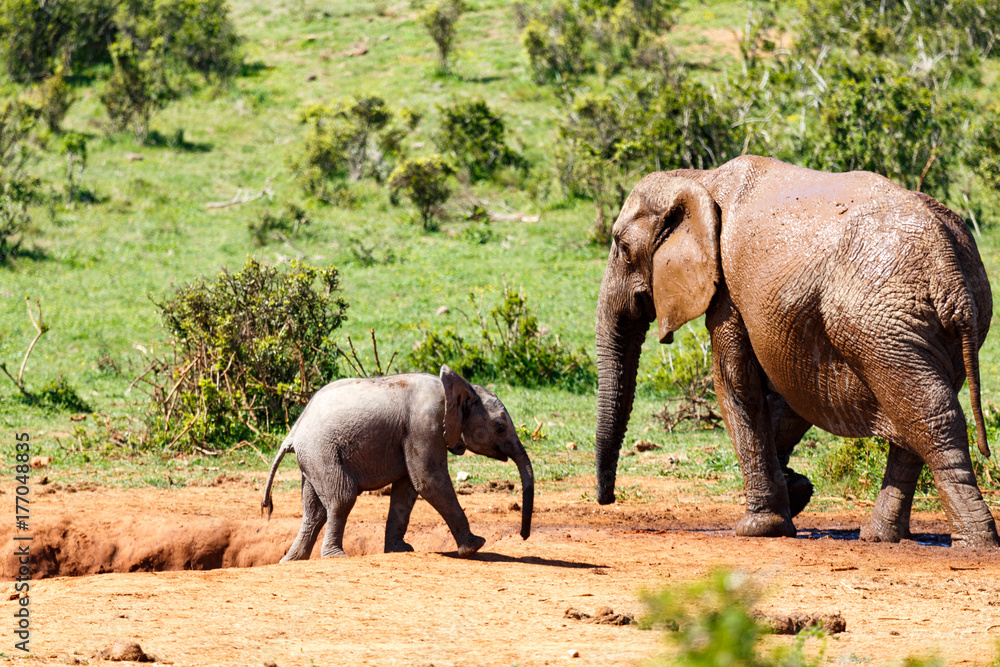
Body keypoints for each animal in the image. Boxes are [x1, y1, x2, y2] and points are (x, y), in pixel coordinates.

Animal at [262, 366, 536, 560]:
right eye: (499, 427)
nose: (524, 536)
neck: (457, 387)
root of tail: (294, 430)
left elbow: (407, 490)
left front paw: (400, 550)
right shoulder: (424, 423)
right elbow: (428, 481)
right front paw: (475, 546)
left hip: (313, 456)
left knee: (314, 510)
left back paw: (292, 561)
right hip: (321, 451)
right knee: (342, 497)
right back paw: (335, 557)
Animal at [592, 155, 992, 548]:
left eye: (623, 248)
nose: (605, 500)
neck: (699, 179)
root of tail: (947, 263)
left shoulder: (727, 288)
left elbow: (735, 382)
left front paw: (759, 527)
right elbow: (789, 390)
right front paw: (796, 491)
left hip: (881, 321)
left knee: (928, 415)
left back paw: (975, 542)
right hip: (926, 322)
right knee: (917, 413)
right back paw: (882, 537)